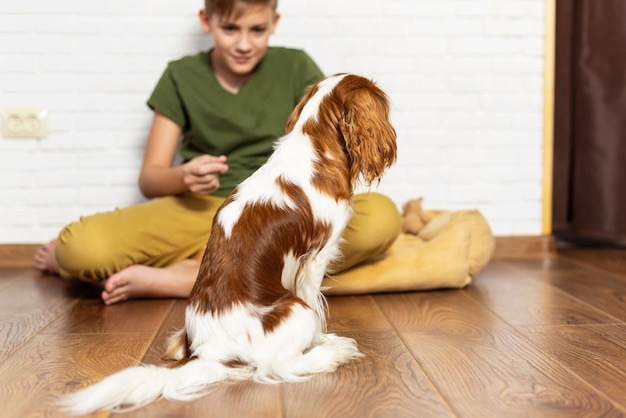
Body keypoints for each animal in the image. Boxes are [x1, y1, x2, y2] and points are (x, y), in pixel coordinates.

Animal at [62, 73, 394, 414]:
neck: (313, 145)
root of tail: (208, 353)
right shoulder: (315, 260)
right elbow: (316, 305)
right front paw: (322, 341)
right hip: (295, 311)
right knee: (277, 365)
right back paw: (334, 353)